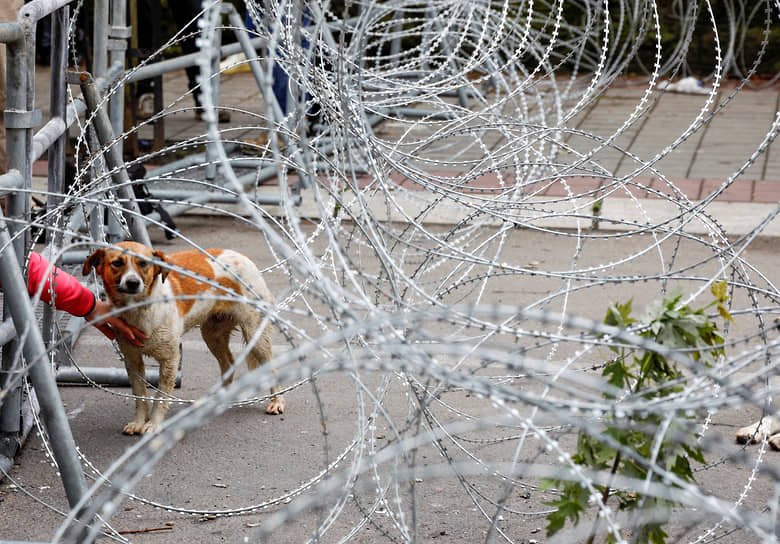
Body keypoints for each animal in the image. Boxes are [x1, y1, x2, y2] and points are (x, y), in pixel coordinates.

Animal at [83, 241, 284, 434]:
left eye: (143, 263)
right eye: (117, 263)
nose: (133, 283)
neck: (141, 309)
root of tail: (242, 256)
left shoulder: (170, 360)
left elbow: (160, 398)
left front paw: (153, 425)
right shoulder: (132, 360)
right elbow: (140, 396)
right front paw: (138, 423)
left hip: (255, 333)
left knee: (272, 366)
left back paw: (277, 402)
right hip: (212, 334)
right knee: (228, 362)